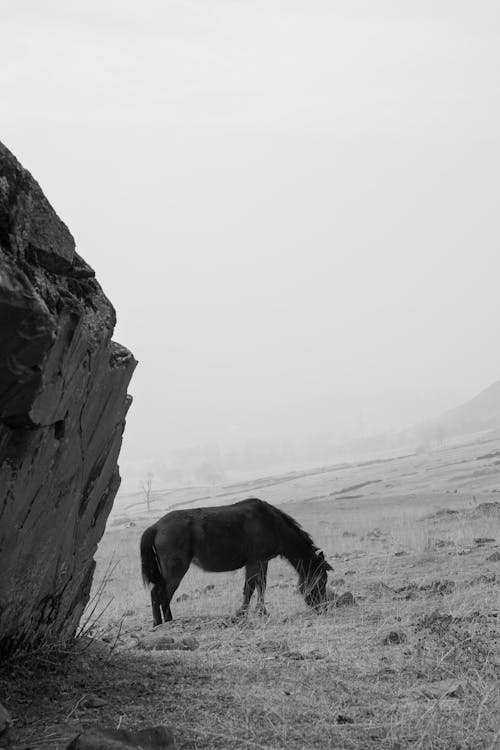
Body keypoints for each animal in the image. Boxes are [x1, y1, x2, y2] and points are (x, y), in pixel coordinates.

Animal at [140, 496, 332, 624]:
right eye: (321, 581)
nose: (324, 609)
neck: (272, 523)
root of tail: (155, 527)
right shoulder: (256, 561)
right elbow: (252, 587)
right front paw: (248, 613)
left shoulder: (261, 562)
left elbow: (259, 586)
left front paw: (257, 612)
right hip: (175, 572)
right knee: (159, 594)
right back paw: (165, 622)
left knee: (159, 594)